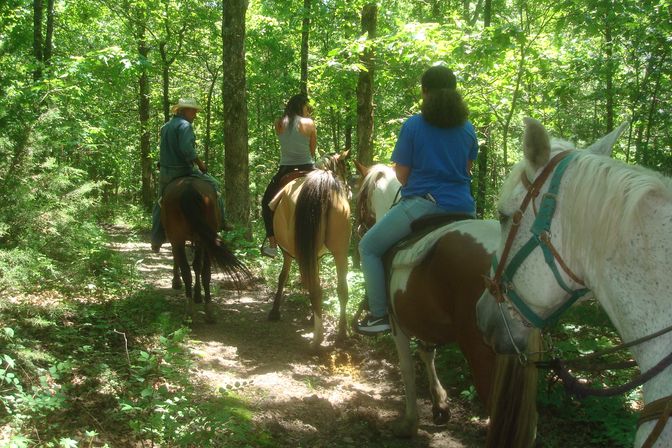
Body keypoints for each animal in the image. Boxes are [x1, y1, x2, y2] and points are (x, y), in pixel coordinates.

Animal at [161, 177, 251, 324]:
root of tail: (188, 188)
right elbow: (197, 266)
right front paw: (197, 294)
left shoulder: (180, 240)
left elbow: (191, 264)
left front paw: (180, 284)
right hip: (205, 239)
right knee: (205, 272)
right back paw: (207, 310)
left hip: (181, 238)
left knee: (188, 270)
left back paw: (190, 310)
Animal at [268, 152, 352, 352]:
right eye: (345, 169)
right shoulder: (313, 256)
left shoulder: (292, 253)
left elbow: (284, 277)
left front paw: (275, 311)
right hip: (341, 250)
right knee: (341, 289)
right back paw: (341, 335)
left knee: (315, 289)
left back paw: (317, 340)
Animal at [356, 162, 540, 448]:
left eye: (359, 197)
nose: (360, 228)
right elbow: (427, 353)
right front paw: (440, 405)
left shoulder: (397, 324)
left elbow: (407, 369)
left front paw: (409, 423)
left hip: (483, 355)